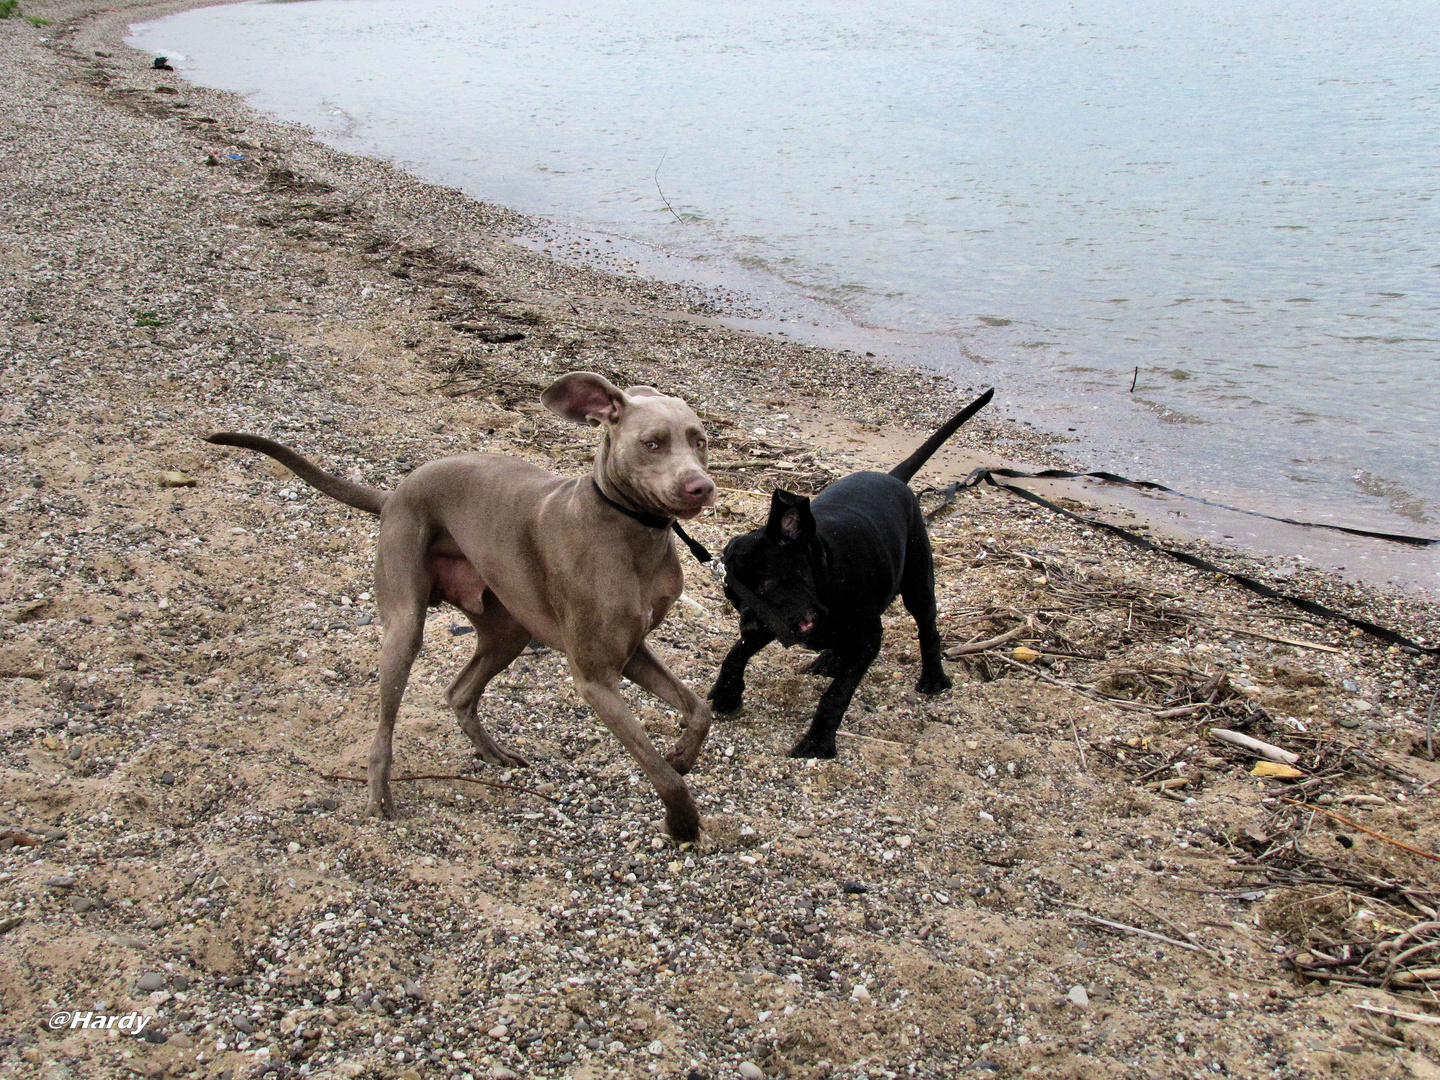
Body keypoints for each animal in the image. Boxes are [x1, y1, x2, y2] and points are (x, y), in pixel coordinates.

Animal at [708, 391, 990, 760]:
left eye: (766, 582)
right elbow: (735, 654)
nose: (750, 627)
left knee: (928, 630)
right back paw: (829, 658)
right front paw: (726, 693)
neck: (826, 575)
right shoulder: (777, 624)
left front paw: (817, 742)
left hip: (918, 583)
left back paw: (933, 679)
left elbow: (836, 695)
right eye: (732, 595)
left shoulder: (867, 638)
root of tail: (894, 478)